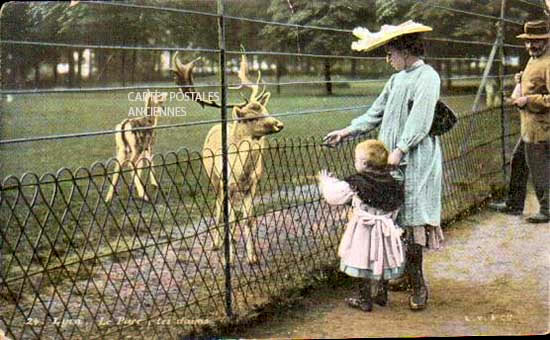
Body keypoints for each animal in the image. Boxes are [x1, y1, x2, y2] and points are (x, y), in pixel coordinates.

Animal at [172, 50, 284, 264]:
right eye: (251, 117)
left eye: (266, 110)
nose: (278, 124)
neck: (241, 171)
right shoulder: (226, 184)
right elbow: (229, 218)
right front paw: (229, 258)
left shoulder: (253, 184)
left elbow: (248, 219)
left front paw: (252, 257)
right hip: (213, 178)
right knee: (217, 208)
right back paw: (217, 243)